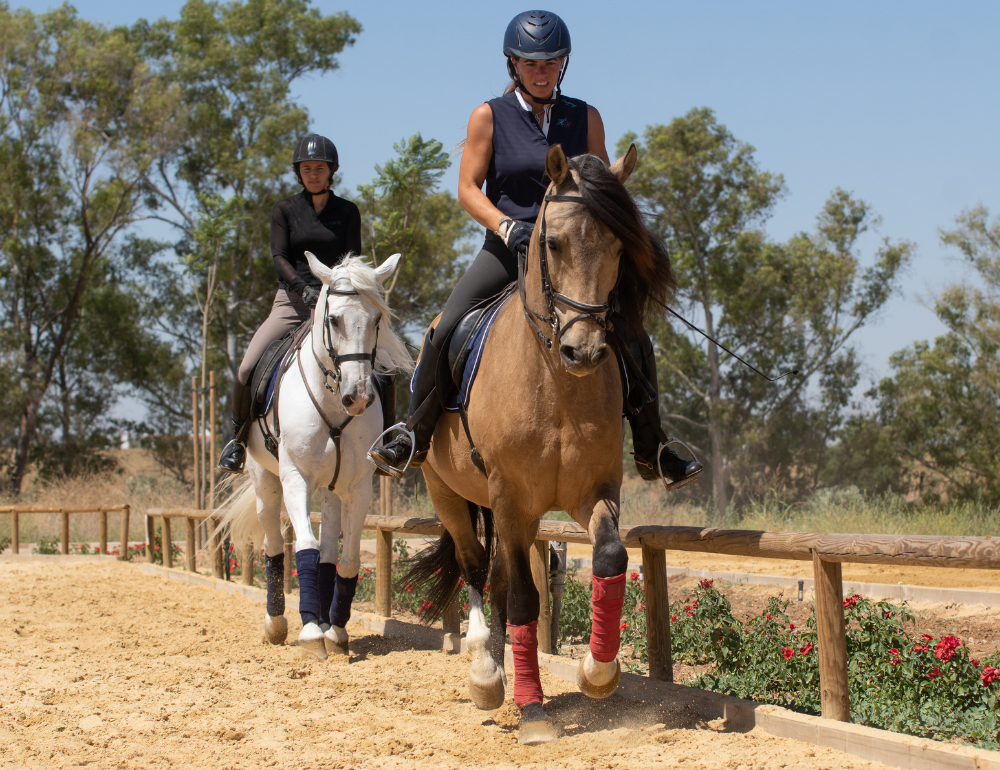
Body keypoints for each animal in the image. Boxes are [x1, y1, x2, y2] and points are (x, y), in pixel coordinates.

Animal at [221, 252, 412, 660]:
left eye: (377, 320)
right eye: (334, 319)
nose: (358, 396)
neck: (331, 399)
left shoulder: (358, 486)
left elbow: (348, 556)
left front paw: (335, 631)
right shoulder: (296, 479)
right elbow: (304, 546)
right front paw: (310, 632)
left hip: (331, 489)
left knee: (327, 552)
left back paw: (325, 624)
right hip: (266, 482)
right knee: (273, 545)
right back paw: (278, 625)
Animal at [396, 144, 675, 744]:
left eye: (621, 248)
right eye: (552, 243)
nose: (583, 351)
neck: (555, 383)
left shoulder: (593, 490)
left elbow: (610, 557)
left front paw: (598, 672)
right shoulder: (510, 499)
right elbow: (525, 596)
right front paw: (533, 712)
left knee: (499, 574)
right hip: (449, 493)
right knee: (477, 568)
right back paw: (485, 675)